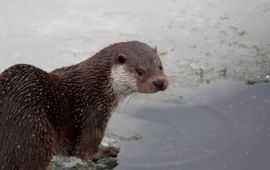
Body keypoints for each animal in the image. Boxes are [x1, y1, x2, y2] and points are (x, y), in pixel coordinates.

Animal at [0, 41, 168, 170]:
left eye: (160, 66)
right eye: (140, 71)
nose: (160, 82)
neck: (100, 85)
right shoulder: (92, 111)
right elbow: (85, 151)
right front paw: (107, 151)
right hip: (33, 133)